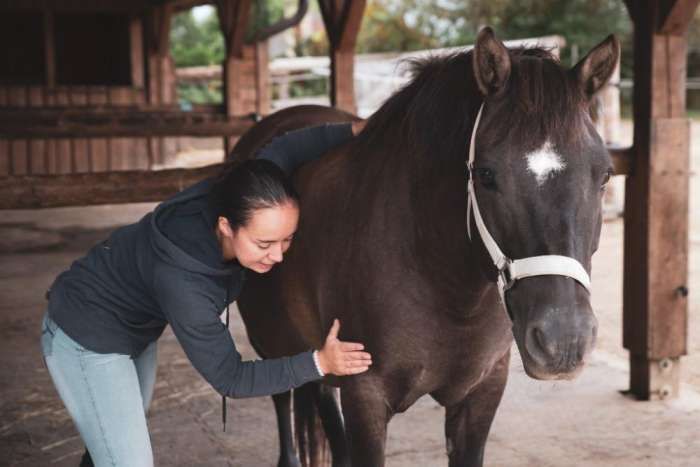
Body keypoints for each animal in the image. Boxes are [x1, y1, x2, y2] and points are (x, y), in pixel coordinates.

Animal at [234, 28, 616, 467]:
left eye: (605, 175)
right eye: (486, 175)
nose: (564, 340)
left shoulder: (482, 393)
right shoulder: (365, 397)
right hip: (270, 340)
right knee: (282, 398)